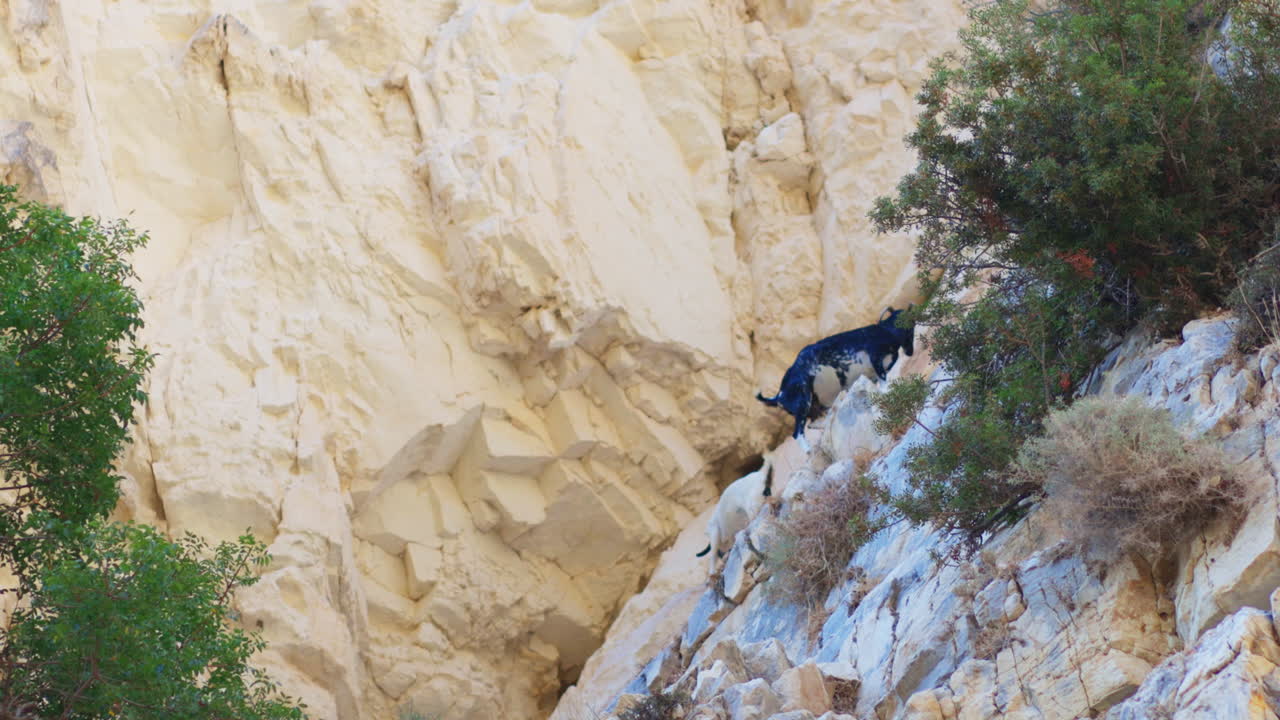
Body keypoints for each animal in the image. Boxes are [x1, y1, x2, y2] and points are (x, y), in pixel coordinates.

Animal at [757, 306, 915, 447]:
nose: (910, 352)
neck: (886, 331)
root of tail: (779, 395)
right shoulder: (875, 358)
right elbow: (883, 385)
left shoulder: (876, 372)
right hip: (802, 404)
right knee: (797, 434)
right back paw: (809, 450)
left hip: (813, 407)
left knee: (813, 424)